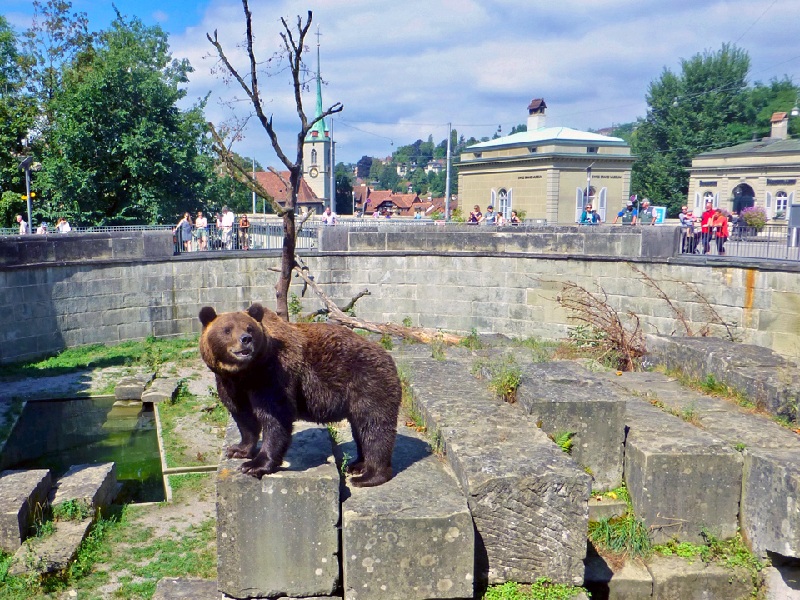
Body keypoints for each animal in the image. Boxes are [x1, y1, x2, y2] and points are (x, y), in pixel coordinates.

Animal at [198, 304, 404, 488]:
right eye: (227, 329)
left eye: (249, 328)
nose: (245, 339)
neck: (245, 373)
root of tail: (388, 358)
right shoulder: (230, 384)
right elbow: (244, 417)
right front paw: (237, 450)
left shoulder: (273, 376)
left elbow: (275, 418)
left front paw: (254, 465)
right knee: (360, 429)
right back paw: (357, 465)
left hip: (368, 383)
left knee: (374, 427)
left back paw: (369, 476)